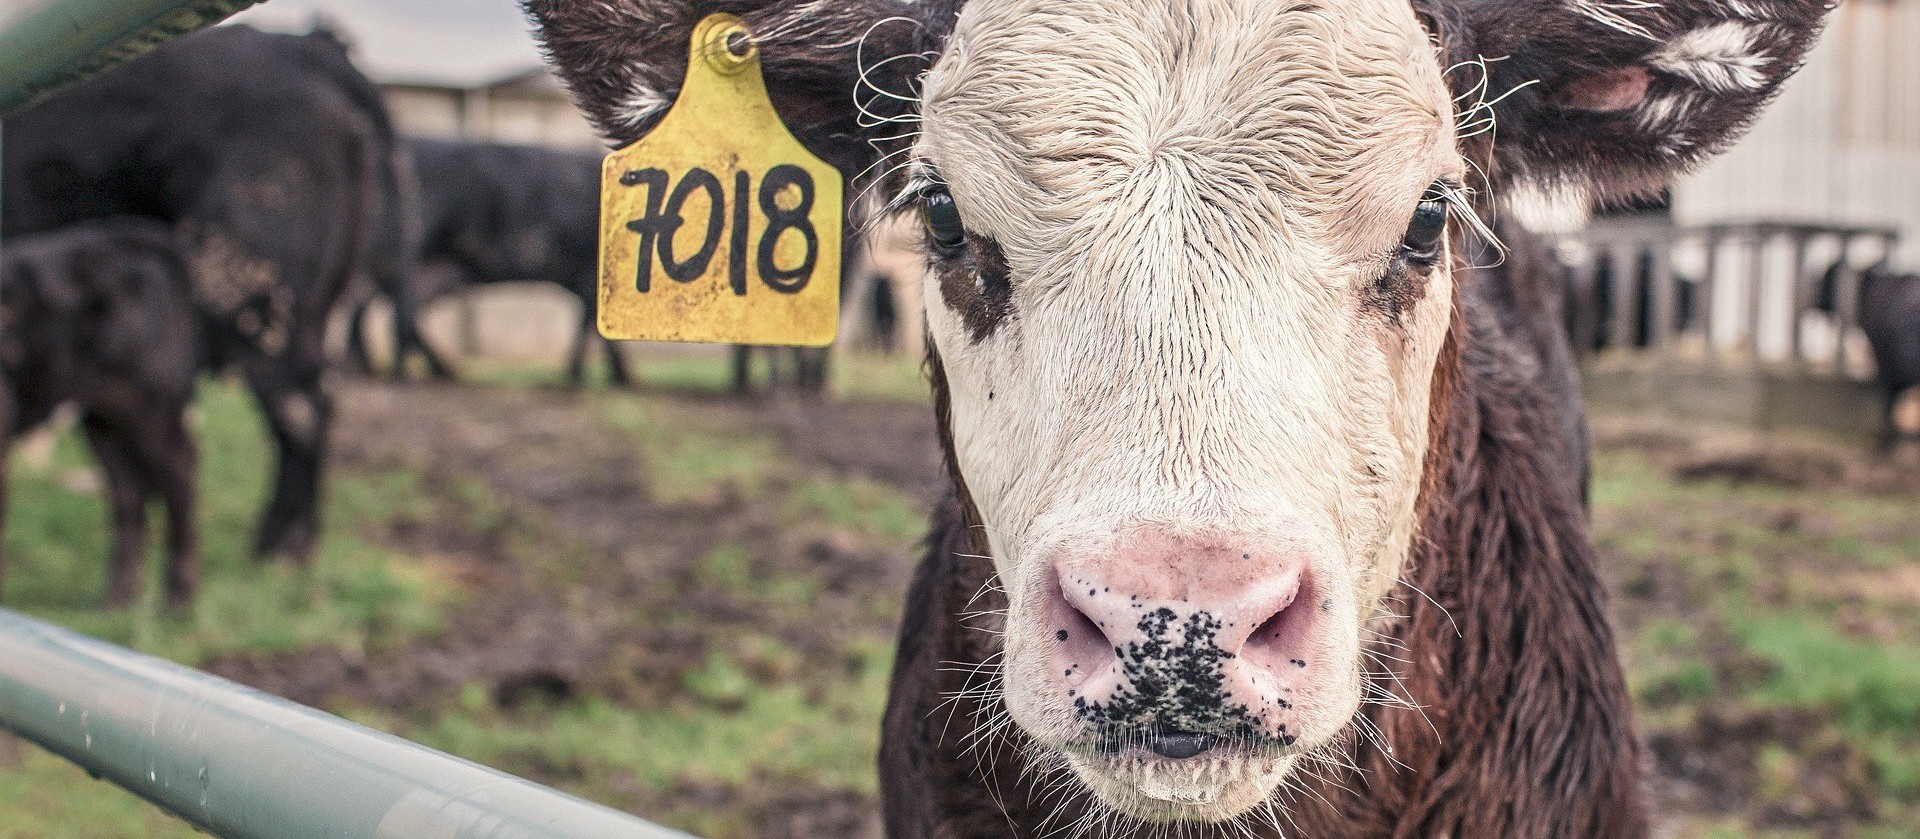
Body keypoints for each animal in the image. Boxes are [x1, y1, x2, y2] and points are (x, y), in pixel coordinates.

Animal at [0, 218, 202, 606]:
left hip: (153, 409)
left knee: (179, 477)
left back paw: (177, 600)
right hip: (104, 418)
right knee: (128, 493)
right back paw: (118, 599)